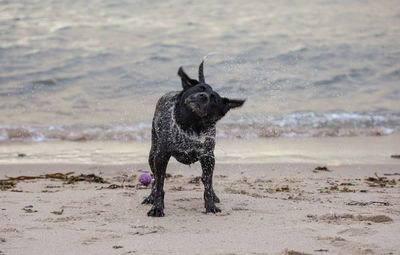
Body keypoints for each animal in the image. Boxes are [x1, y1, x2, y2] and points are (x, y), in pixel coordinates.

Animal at [142, 60, 245, 216]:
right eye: (199, 88)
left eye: (214, 98)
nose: (203, 96)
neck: (190, 125)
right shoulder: (161, 156)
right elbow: (160, 183)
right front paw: (157, 207)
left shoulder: (208, 157)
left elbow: (207, 184)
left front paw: (210, 205)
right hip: (152, 153)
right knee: (154, 178)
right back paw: (151, 197)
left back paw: (214, 196)